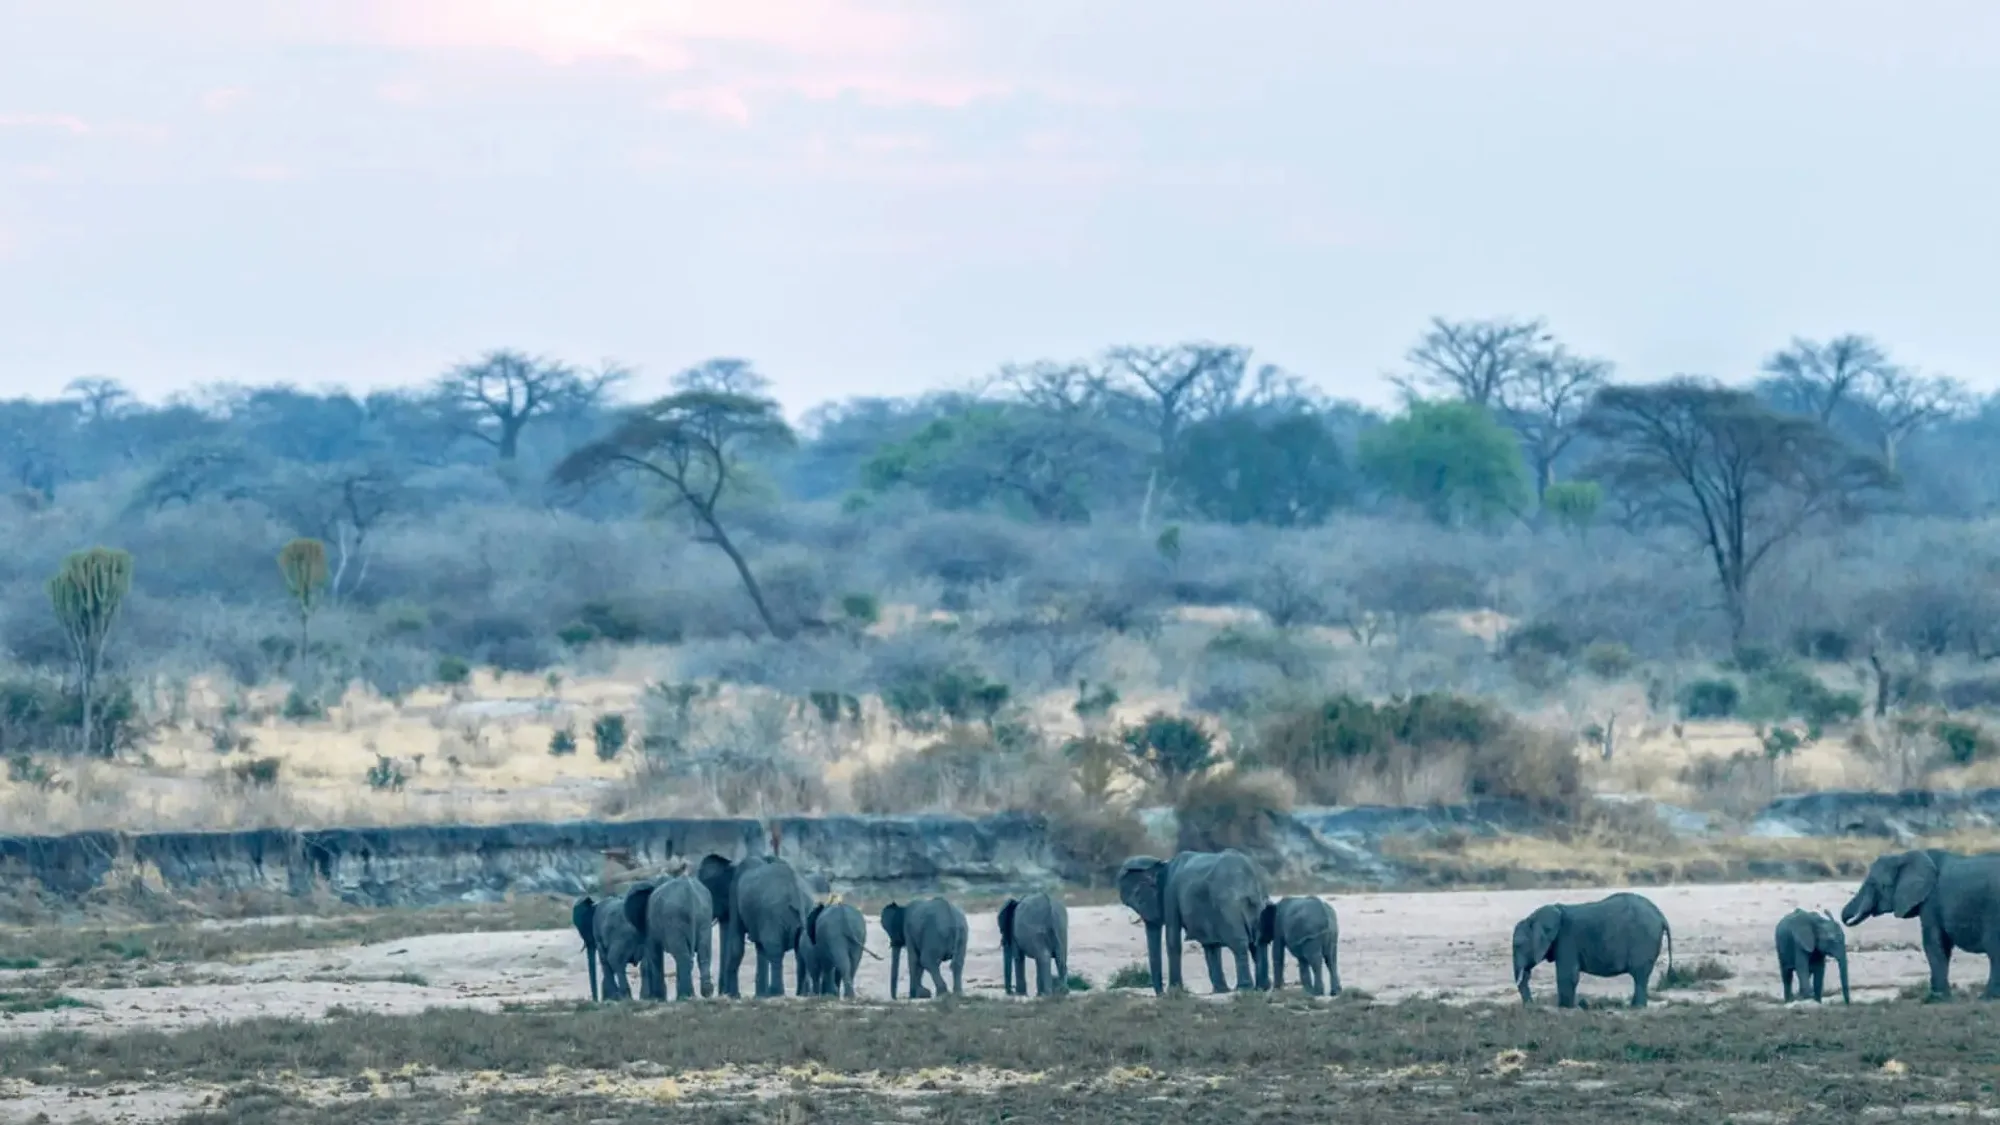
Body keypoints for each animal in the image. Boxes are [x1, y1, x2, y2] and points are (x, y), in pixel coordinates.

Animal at [698, 853, 816, 998]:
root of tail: (797, 896)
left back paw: (776, 993)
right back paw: (803, 994)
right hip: (806, 912)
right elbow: (759, 947)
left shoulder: (735, 895)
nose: (721, 993)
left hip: (774, 915)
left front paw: (734, 996)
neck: (732, 866)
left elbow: (736, 942)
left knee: (775, 949)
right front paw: (759, 996)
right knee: (800, 951)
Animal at [1117, 850, 1270, 995]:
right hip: (1259, 906)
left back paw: (1244, 988)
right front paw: (1220, 991)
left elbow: (1173, 939)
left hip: (1229, 907)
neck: (1162, 865)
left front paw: (1174, 991)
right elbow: (1210, 945)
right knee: (1257, 944)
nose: (1161, 994)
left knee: (1238, 943)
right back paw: (1262, 988)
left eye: (1138, 899)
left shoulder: (1170, 893)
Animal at [1512, 891, 1673, 1008]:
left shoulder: (1567, 939)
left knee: (1639, 976)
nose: (1531, 1006)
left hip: (1644, 942)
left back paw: (1636, 1008)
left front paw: (1565, 1008)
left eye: (1518, 945)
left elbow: (1567, 975)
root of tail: (1661, 916)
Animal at [1842, 848, 2000, 1000]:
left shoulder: (1931, 901)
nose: (1846, 920)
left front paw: (1938, 998)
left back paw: (1987, 997)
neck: (1902, 856)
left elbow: (1933, 942)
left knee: (1993, 949)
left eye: (1873, 884)